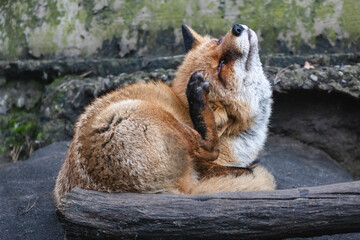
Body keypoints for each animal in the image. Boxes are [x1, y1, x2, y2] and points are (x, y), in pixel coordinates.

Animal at [53, 23, 274, 204]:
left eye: (219, 42)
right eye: (221, 65)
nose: (237, 28)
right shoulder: (205, 167)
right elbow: (214, 161)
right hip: (147, 112)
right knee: (209, 148)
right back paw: (198, 103)